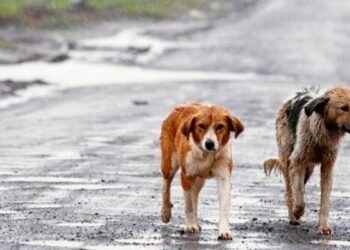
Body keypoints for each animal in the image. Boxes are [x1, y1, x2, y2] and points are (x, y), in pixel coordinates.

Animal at [159, 102, 243, 239]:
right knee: (165, 186)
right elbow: (188, 205)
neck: (206, 155)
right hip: (169, 164)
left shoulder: (223, 177)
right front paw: (190, 225)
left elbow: (224, 206)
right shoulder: (186, 176)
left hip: (199, 180)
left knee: (195, 196)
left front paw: (224, 230)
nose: (209, 143)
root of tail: (182, 105)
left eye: (220, 126)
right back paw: (165, 212)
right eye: (201, 126)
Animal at [264, 86, 350, 234]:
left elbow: (325, 200)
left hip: (308, 168)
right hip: (288, 158)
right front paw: (296, 212)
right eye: (344, 108)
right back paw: (293, 216)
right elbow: (299, 197)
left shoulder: (328, 166)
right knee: (289, 190)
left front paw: (324, 226)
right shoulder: (297, 161)